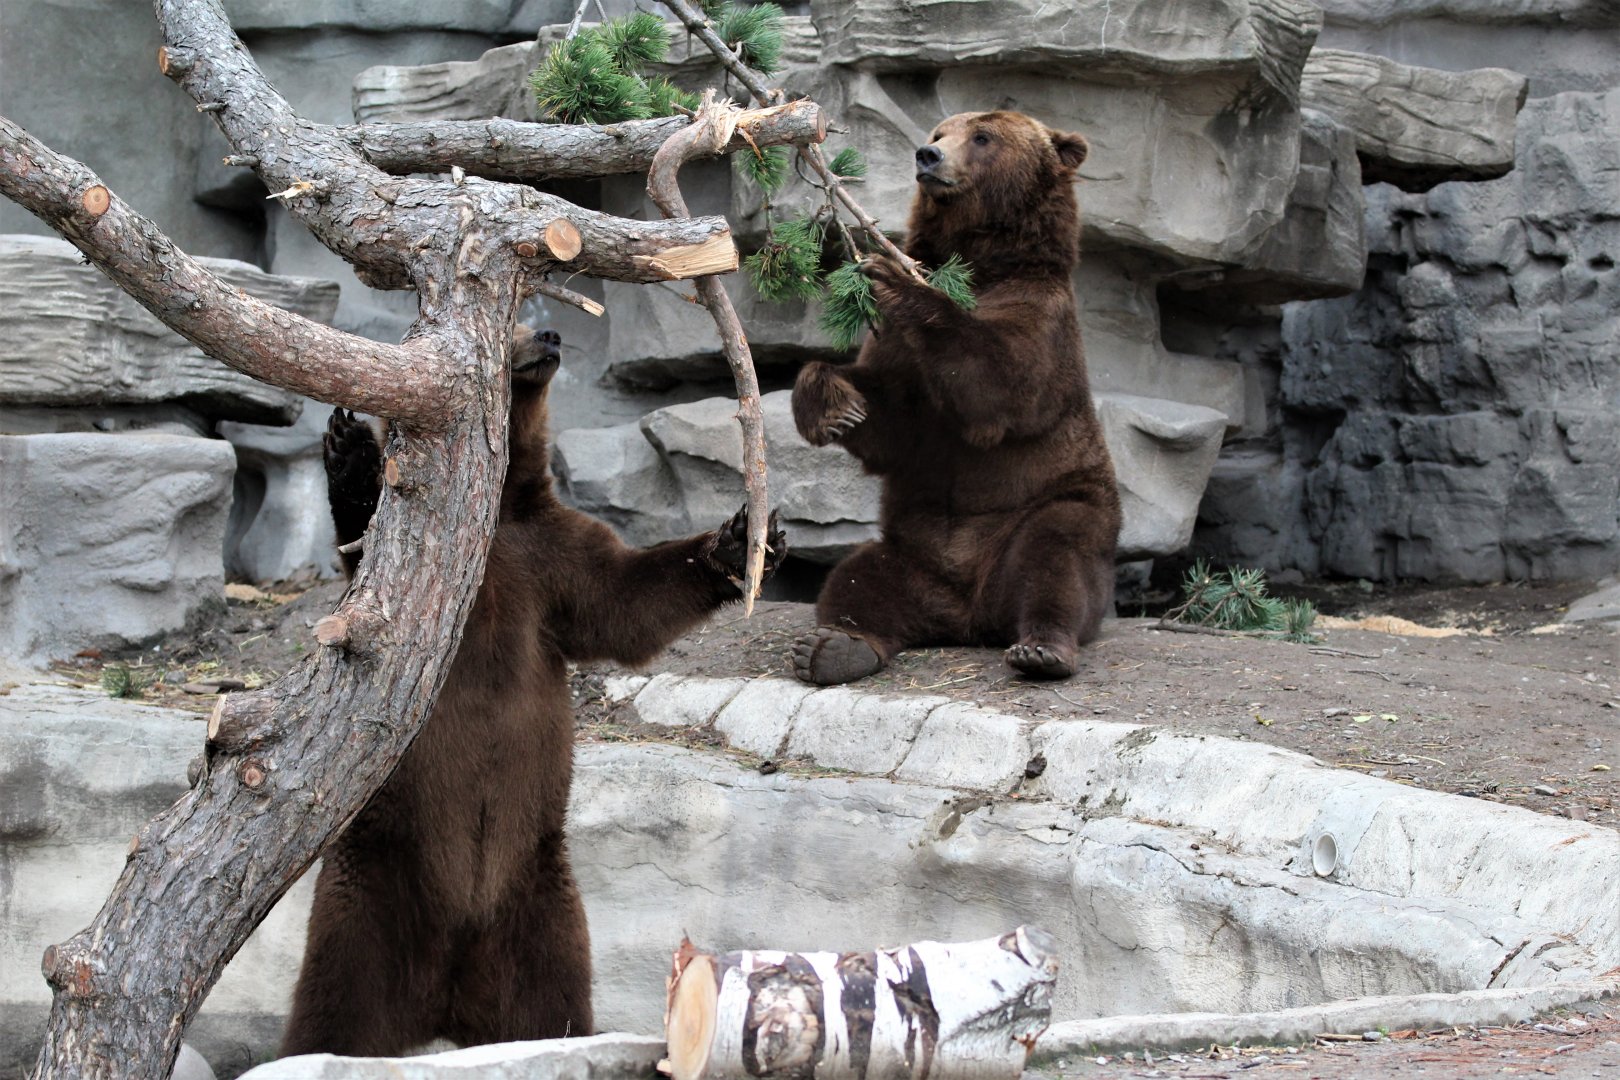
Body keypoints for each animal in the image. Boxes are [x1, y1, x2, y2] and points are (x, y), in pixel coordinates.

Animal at [280, 325, 785, 1057]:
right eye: (513, 322)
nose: (548, 335)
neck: (498, 508)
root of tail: (447, 992)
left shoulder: (552, 557)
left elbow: (626, 601)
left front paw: (742, 537)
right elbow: (367, 551)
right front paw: (349, 450)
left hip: (540, 899)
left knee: (550, 995)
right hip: (371, 883)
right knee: (338, 997)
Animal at [789, 110, 1120, 685]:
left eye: (982, 137)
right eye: (941, 132)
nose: (928, 155)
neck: (984, 262)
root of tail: (970, 614)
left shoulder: (1039, 314)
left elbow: (997, 382)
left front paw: (890, 273)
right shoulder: (896, 351)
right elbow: (894, 420)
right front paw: (834, 405)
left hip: (1053, 506)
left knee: (1057, 554)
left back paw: (1042, 648)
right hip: (910, 554)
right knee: (858, 578)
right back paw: (833, 648)